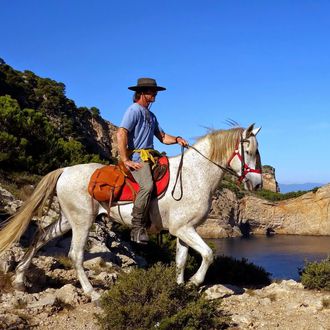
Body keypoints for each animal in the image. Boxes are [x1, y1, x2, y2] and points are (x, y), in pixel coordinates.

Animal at [0, 123, 262, 300]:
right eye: (249, 151)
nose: (257, 184)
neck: (194, 175)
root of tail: (64, 170)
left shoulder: (184, 230)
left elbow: (181, 260)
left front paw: (179, 288)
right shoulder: (185, 229)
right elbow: (208, 254)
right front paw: (194, 282)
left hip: (67, 220)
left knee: (41, 236)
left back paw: (20, 278)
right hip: (82, 222)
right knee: (75, 255)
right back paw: (92, 293)